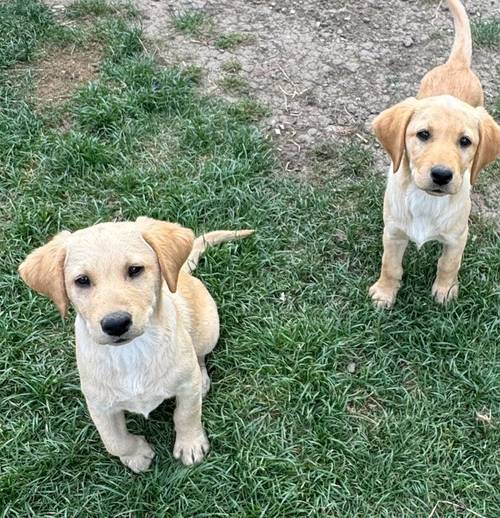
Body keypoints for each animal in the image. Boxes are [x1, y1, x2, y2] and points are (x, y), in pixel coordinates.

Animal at [19, 217, 254, 474]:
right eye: (82, 280)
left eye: (135, 270)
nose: (115, 323)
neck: (130, 352)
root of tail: (181, 273)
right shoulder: (99, 404)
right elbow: (114, 440)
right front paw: (136, 455)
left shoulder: (185, 385)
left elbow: (187, 414)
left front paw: (190, 444)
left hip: (208, 331)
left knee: (199, 357)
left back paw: (201, 380)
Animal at [368, 0, 500, 308]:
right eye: (423, 135)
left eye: (465, 141)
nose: (441, 175)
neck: (426, 200)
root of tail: (457, 64)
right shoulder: (393, 233)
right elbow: (390, 265)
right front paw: (385, 292)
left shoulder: (457, 237)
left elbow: (449, 264)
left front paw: (445, 291)